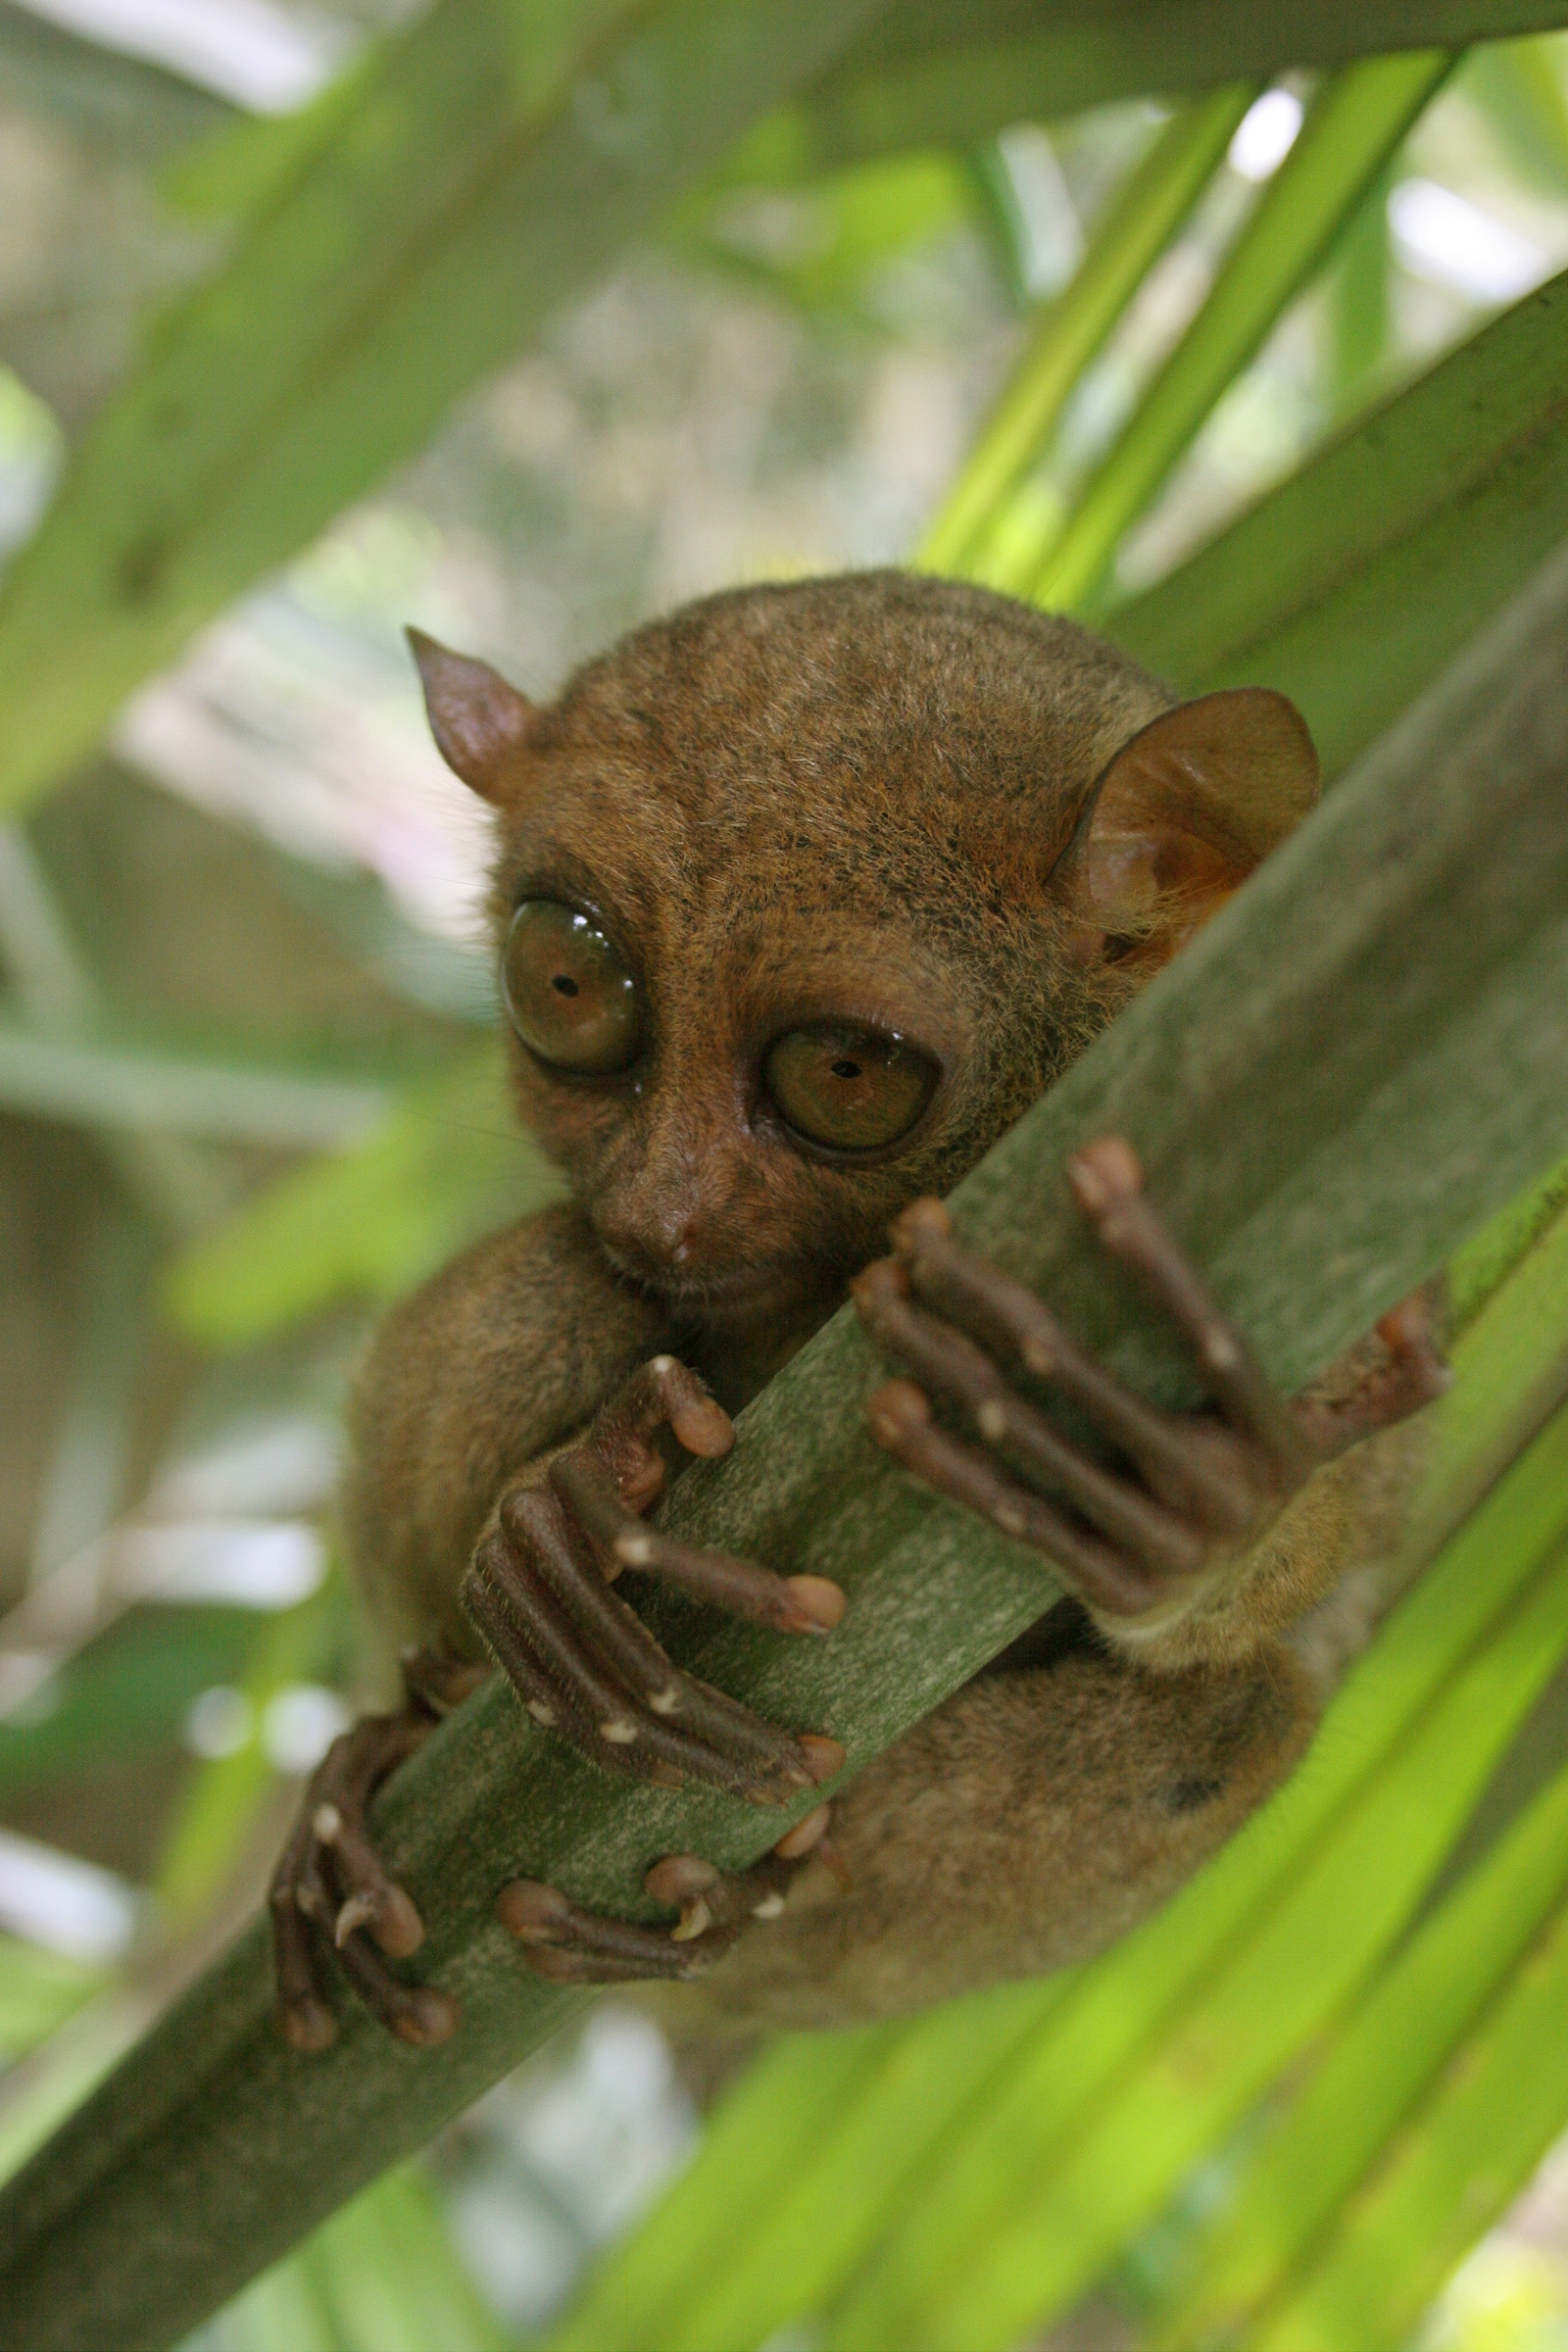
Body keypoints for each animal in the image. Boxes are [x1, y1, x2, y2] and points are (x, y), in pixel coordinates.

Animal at [267, 570, 1448, 2052]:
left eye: (842, 1072)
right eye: (565, 985)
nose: (660, 1213)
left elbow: (1322, 1538)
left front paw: (1195, 1497)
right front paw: (552, 1526)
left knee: (1241, 1722)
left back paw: (726, 1906)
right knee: (556, 1285)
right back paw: (390, 1757)